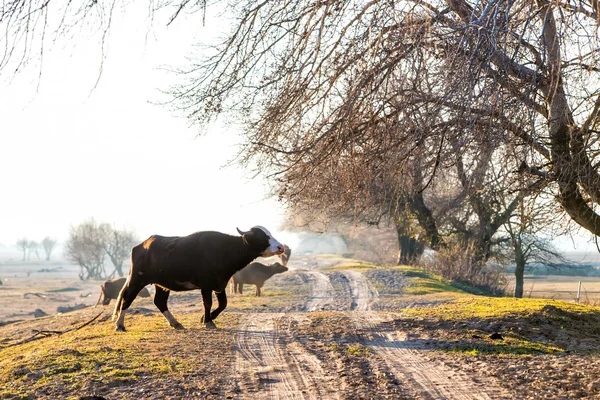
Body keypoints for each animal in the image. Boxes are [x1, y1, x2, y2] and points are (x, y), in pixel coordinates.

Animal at [113, 225, 284, 332]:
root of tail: (141, 245)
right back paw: (120, 325)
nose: (281, 247)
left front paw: (206, 318)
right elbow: (208, 303)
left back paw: (176, 323)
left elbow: (223, 304)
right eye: (263, 237)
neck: (226, 249)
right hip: (137, 279)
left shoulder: (220, 284)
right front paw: (208, 322)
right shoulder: (206, 285)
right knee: (127, 298)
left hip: (161, 284)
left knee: (159, 301)